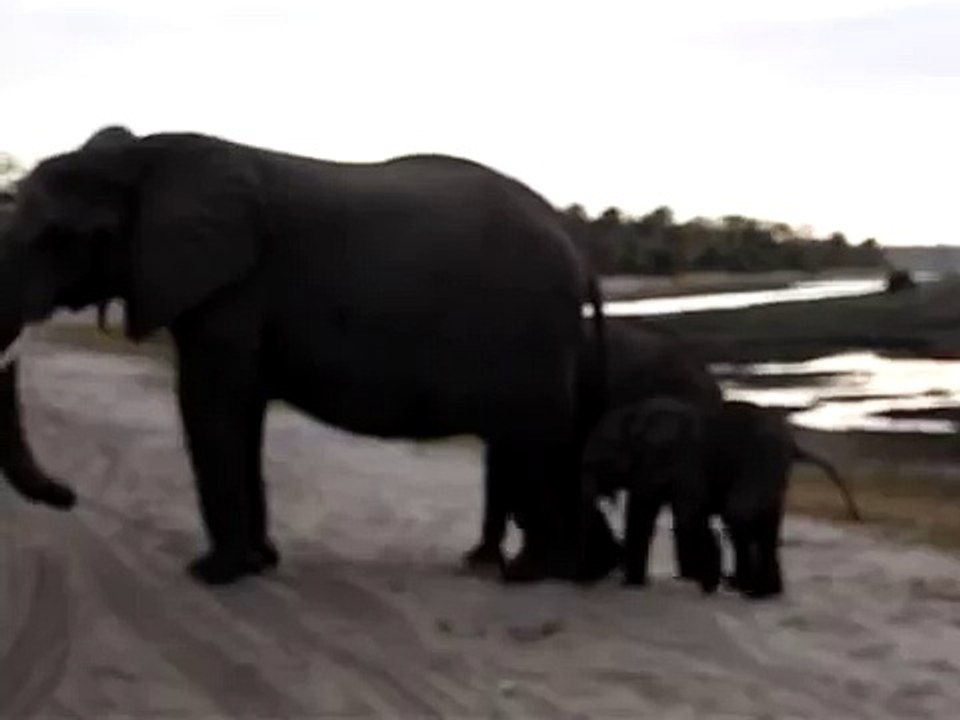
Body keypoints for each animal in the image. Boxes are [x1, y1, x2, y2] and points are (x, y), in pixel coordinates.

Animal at [581, 396, 862, 599]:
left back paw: (748, 589)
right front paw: (633, 586)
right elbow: (643, 514)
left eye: (603, 451)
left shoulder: (684, 458)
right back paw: (764, 592)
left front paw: (708, 584)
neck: (638, 414)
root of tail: (793, 445)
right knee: (763, 524)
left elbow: (689, 514)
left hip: (761, 462)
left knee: (739, 514)